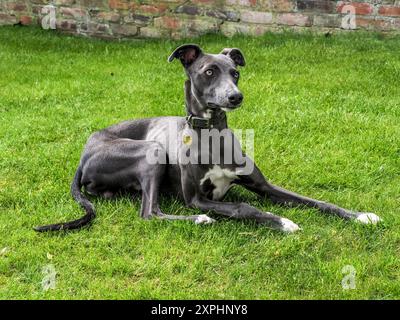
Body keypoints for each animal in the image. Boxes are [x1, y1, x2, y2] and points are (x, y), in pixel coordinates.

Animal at [34, 43, 382, 232]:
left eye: (235, 73)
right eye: (209, 72)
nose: (236, 97)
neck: (213, 134)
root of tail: (84, 153)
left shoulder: (265, 186)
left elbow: (314, 200)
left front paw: (361, 215)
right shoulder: (197, 198)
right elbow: (243, 207)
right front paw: (283, 222)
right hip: (151, 151)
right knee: (150, 213)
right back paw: (200, 220)